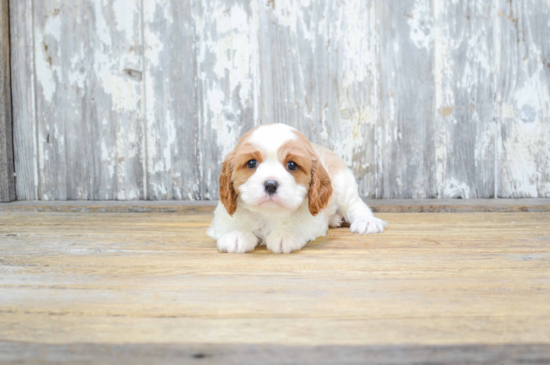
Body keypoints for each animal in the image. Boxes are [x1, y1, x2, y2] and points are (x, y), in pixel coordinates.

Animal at [207, 123, 388, 253]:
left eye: (292, 165)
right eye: (251, 163)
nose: (270, 185)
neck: (269, 214)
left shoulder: (313, 217)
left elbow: (297, 222)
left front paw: (285, 235)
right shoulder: (223, 212)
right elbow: (230, 222)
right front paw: (236, 235)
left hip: (343, 185)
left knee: (356, 205)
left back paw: (367, 221)